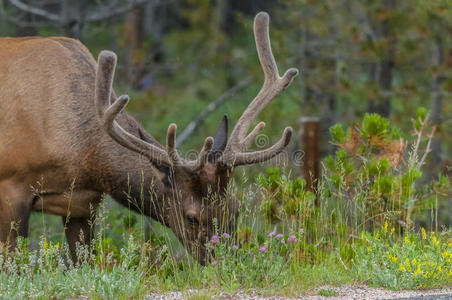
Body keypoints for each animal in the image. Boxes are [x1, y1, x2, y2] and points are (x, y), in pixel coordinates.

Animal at [0, 12, 298, 264]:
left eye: (235, 208)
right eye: (192, 218)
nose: (229, 263)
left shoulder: (82, 204)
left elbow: (84, 262)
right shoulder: (12, 187)